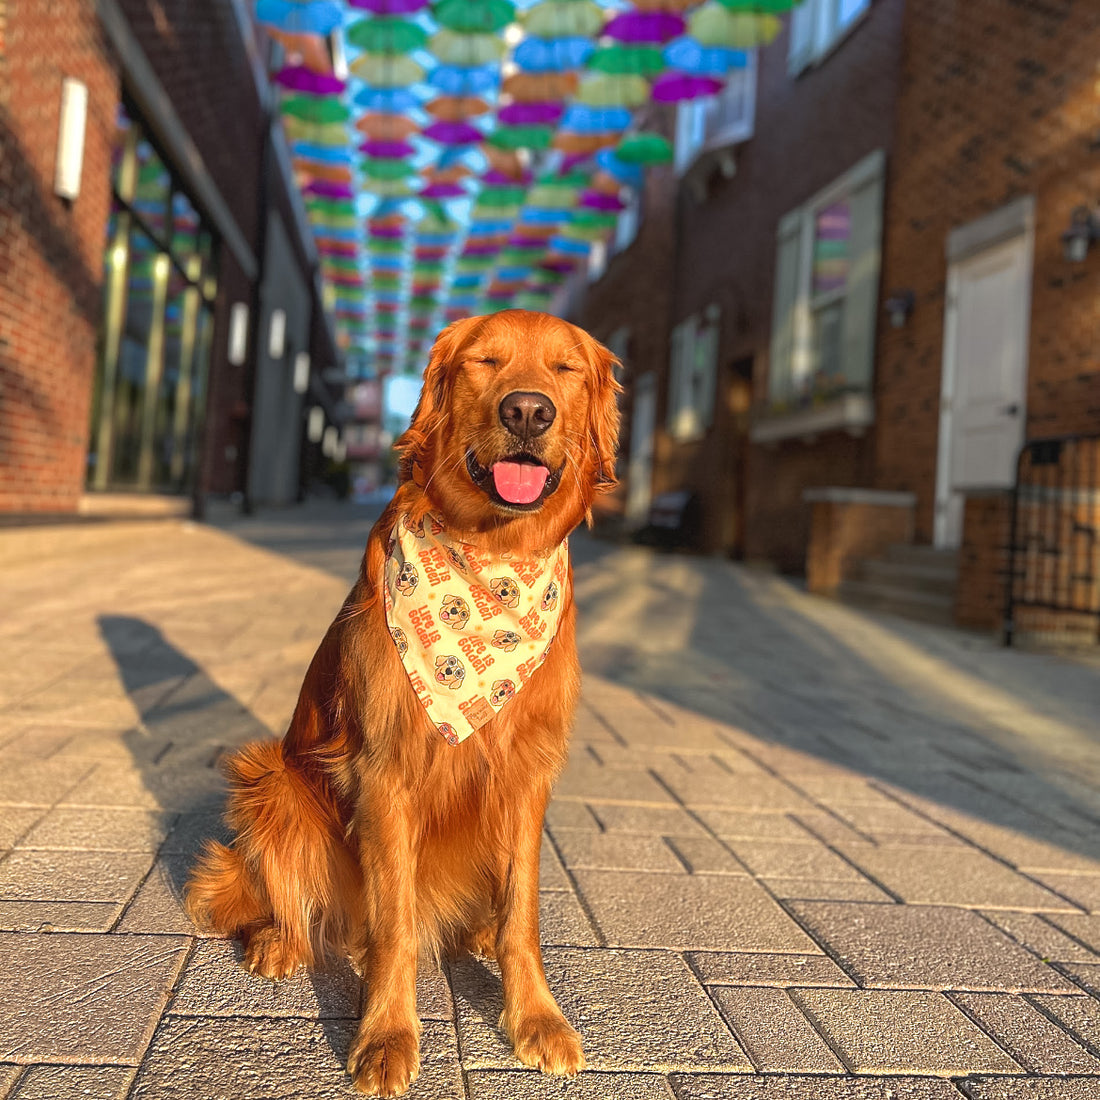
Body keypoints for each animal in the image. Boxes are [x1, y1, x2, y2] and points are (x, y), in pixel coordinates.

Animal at [185, 308, 624, 1091]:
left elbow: (523, 915)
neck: (494, 559)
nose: (527, 410)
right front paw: (386, 1035)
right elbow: (394, 926)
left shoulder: (529, 771)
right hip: (274, 777)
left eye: (565, 369)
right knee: (301, 904)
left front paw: (535, 1018)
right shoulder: (385, 769)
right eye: (486, 361)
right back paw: (279, 942)